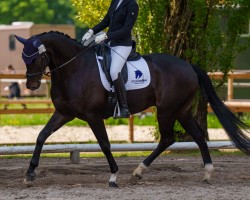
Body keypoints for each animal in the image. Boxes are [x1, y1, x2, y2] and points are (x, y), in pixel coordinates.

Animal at [14, 31, 249, 188]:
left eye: (36, 58)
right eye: (23, 58)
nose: (32, 86)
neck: (74, 68)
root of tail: (188, 65)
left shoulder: (92, 116)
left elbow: (105, 144)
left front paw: (113, 176)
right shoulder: (64, 113)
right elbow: (41, 136)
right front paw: (29, 174)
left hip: (167, 110)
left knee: (168, 138)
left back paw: (139, 171)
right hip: (181, 111)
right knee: (197, 136)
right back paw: (205, 173)